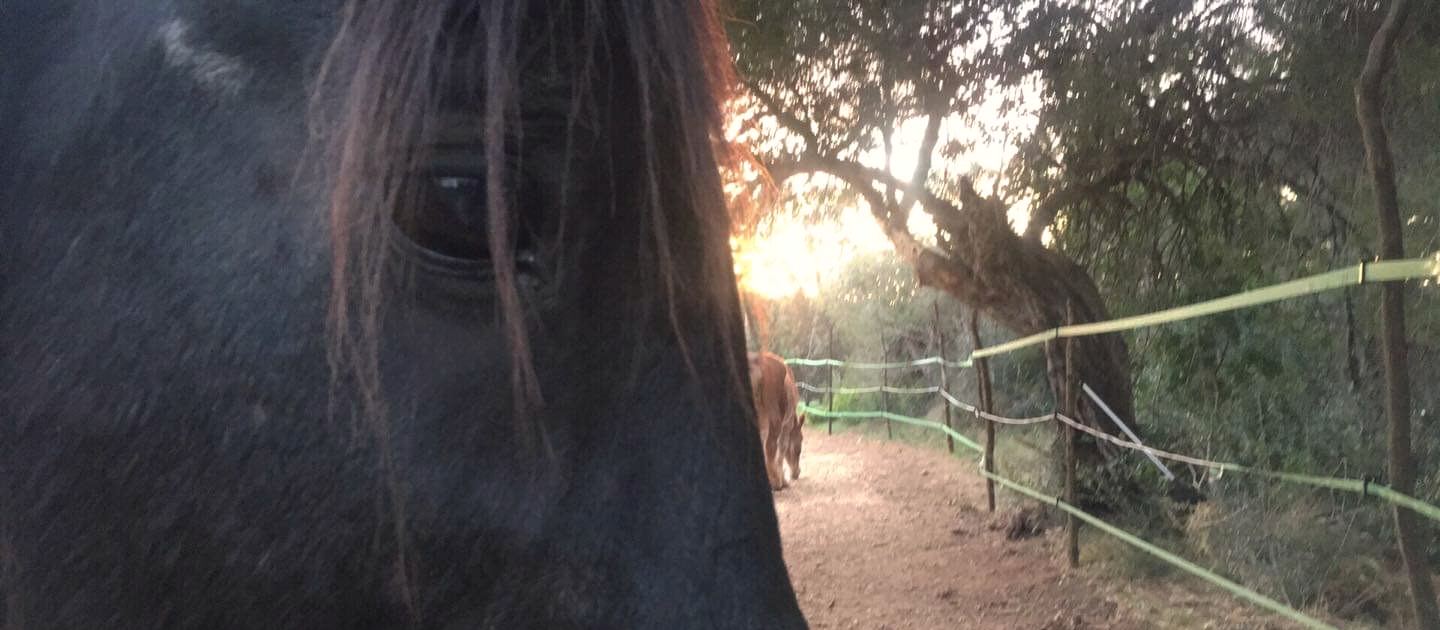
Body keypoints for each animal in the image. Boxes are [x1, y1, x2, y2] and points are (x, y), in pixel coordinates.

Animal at [747, 352, 803, 491]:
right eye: (800, 442)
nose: (797, 473)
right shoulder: (787, 424)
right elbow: (782, 447)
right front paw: (783, 481)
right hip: (774, 418)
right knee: (771, 446)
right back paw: (776, 482)